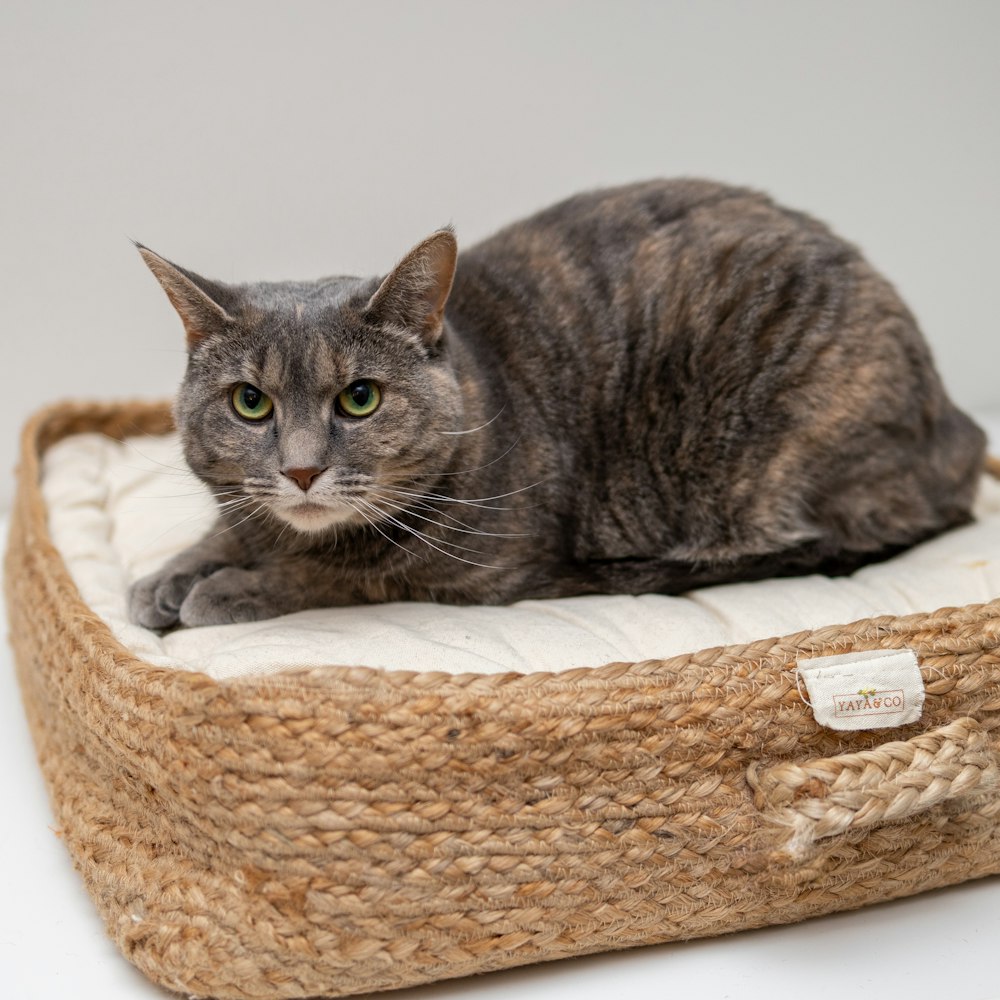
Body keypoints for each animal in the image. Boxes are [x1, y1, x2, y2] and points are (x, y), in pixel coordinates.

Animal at [129, 177, 988, 628]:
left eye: (360, 398)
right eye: (250, 403)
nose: (303, 471)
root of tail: (961, 430)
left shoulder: (479, 570)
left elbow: (345, 573)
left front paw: (227, 587)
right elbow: (228, 527)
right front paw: (174, 571)